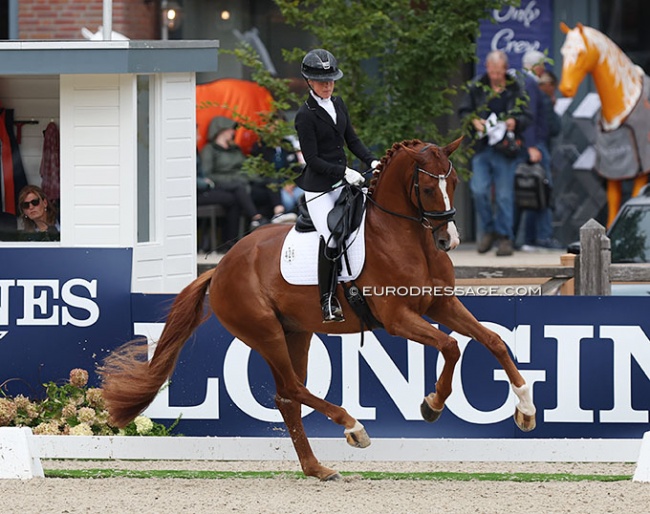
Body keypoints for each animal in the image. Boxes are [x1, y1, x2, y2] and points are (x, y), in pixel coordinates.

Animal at [101, 137, 536, 480]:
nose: (449, 240)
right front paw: (431, 405)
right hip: (265, 333)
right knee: (293, 388)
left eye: (455, 182)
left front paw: (526, 409)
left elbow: (493, 341)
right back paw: (353, 428)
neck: (406, 237)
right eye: (428, 188)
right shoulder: (399, 320)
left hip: (298, 332)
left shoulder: (442, 305)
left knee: (287, 397)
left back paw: (317, 469)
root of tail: (221, 266)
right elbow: (451, 347)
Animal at [556, 21, 644, 226]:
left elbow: (634, 196)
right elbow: (614, 204)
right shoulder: (614, 171)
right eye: (563, 51)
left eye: (581, 52)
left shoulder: (641, 172)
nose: (565, 88)